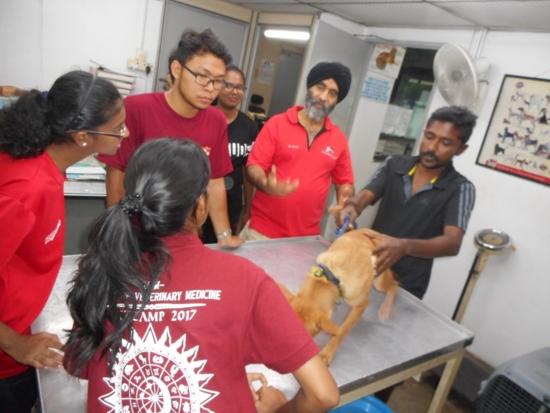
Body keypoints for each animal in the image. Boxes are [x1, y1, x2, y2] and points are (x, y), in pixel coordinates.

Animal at [279, 229, 398, 366]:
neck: (333, 278)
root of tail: (372, 231)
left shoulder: (360, 305)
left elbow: (342, 331)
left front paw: (327, 353)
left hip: (379, 282)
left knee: (394, 285)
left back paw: (385, 309)